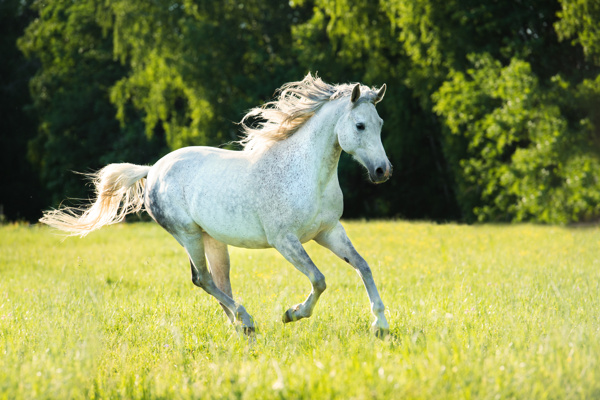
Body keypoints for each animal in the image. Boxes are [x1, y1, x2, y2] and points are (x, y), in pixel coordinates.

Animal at [39, 73, 392, 336]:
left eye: (380, 123)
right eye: (360, 125)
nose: (382, 171)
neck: (306, 173)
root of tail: (152, 170)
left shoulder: (328, 231)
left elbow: (363, 266)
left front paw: (381, 325)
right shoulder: (285, 240)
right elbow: (319, 279)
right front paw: (292, 314)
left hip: (212, 239)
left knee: (220, 282)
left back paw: (240, 326)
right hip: (188, 235)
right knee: (203, 279)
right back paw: (246, 320)